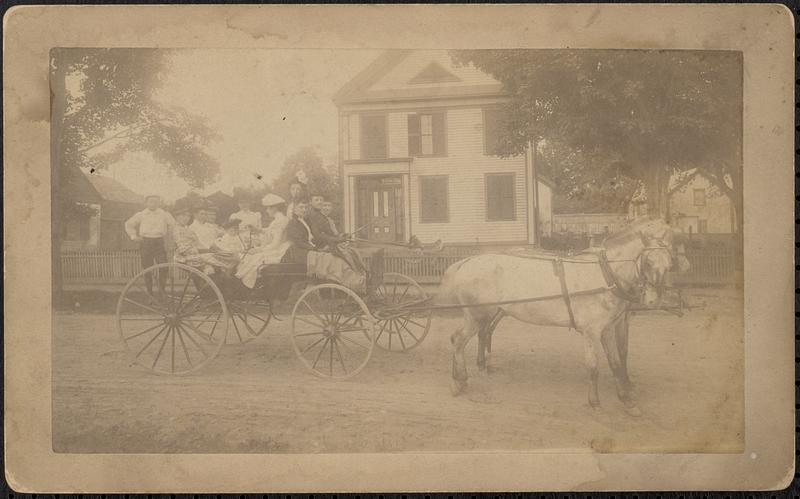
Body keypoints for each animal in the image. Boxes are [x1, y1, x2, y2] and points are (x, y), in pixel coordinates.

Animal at [434, 217, 692, 416]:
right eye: (647, 261)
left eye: (669, 262)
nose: (652, 300)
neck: (605, 274)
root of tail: (467, 261)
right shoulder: (591, 332)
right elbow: (594, 367)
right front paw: (595, 403)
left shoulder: (608, 328)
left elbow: (617, 363)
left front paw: (628, 401)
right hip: (477, 315)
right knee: (458, 340)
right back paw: (459, 381)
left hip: (488, 314)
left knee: (470, 337)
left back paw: (464, 375)